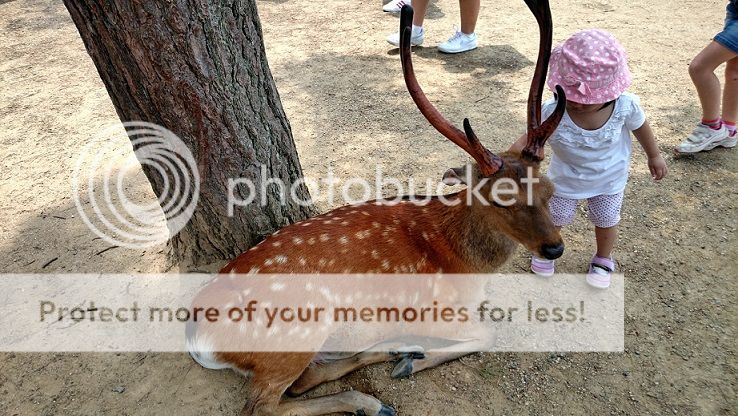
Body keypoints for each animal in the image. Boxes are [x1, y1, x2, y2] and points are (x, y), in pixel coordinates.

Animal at [187, 1, 568, 414]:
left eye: (549, 189)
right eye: (502, 199)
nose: (554, 248)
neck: (467, 267)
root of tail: (198, 339)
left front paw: (410, 357)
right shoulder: (432, 309)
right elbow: (489, 334)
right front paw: (415, 362)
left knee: (306, 379)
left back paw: (392, 354)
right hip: (298, 329)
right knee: (265, 404)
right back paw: (372, 397)